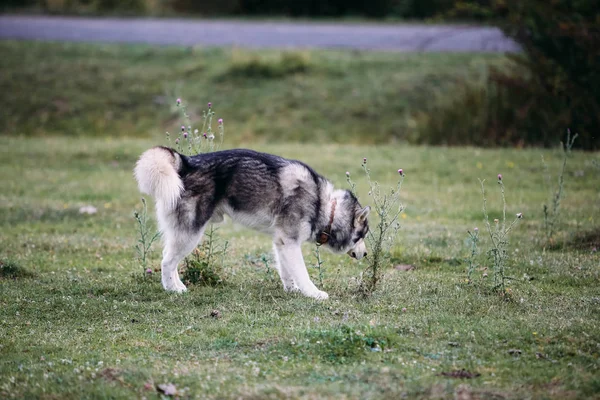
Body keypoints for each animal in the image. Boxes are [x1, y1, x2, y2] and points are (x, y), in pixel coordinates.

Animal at [135, 148, 370, 300]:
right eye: (361, 236)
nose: (366, 254)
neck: (325, 206)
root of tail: (186, 164)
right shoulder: (291, 242)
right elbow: (302, 273)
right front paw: (313, 293)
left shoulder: (282, 242)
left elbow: (287, 271)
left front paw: (292, 289)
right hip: (190, 234)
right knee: (167, 261)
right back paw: (171, 289)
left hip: (184, 234)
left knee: (169, 258)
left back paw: (179, 286)